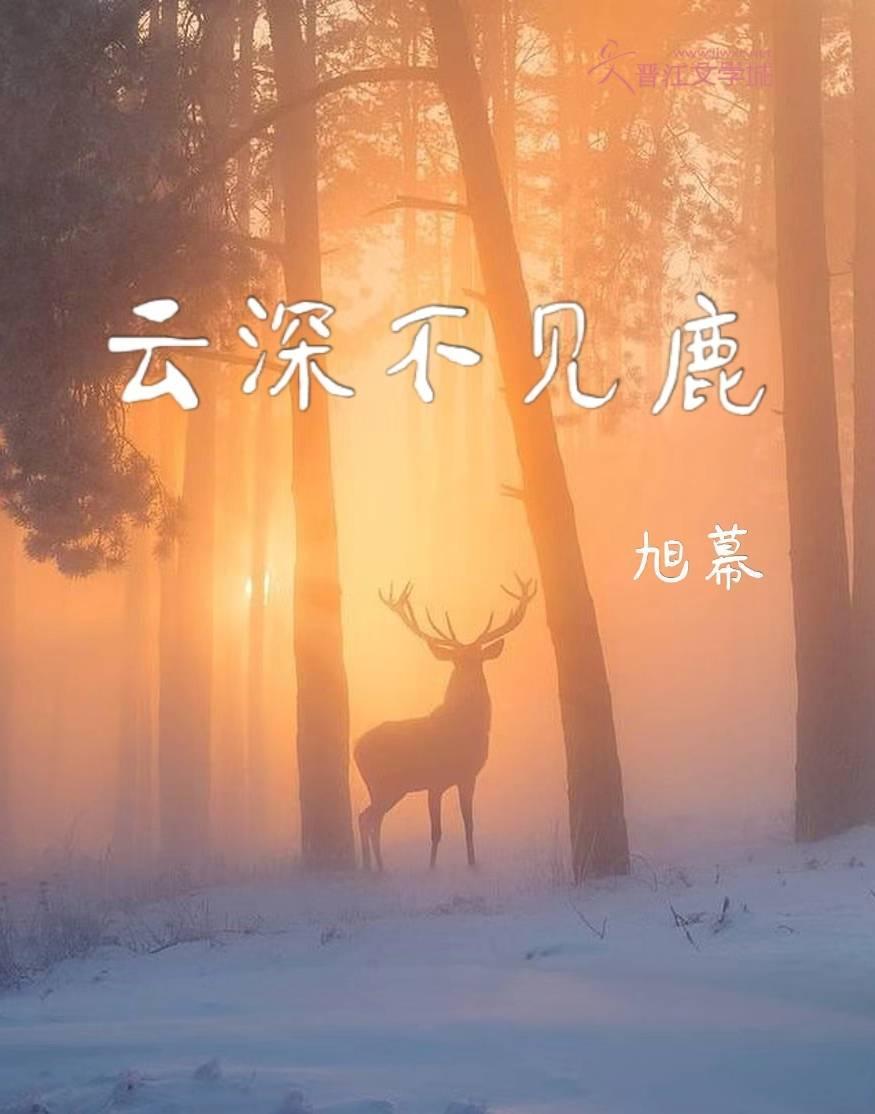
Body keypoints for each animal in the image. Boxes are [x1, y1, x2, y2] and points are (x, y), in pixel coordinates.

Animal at [354, 575, 537, 872]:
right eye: (457, 660)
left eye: (478, 658)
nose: (469, 677)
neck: (461, 732)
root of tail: (355, 747)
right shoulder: (435, 781)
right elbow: (436, 831)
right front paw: (431, 869)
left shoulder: (468, 777)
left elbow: (469, 824)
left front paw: (472, 865)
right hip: (384, 784)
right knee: (368, 818)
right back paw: (375, 868)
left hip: (390, 788)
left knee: (368, 817)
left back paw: (375, 868)